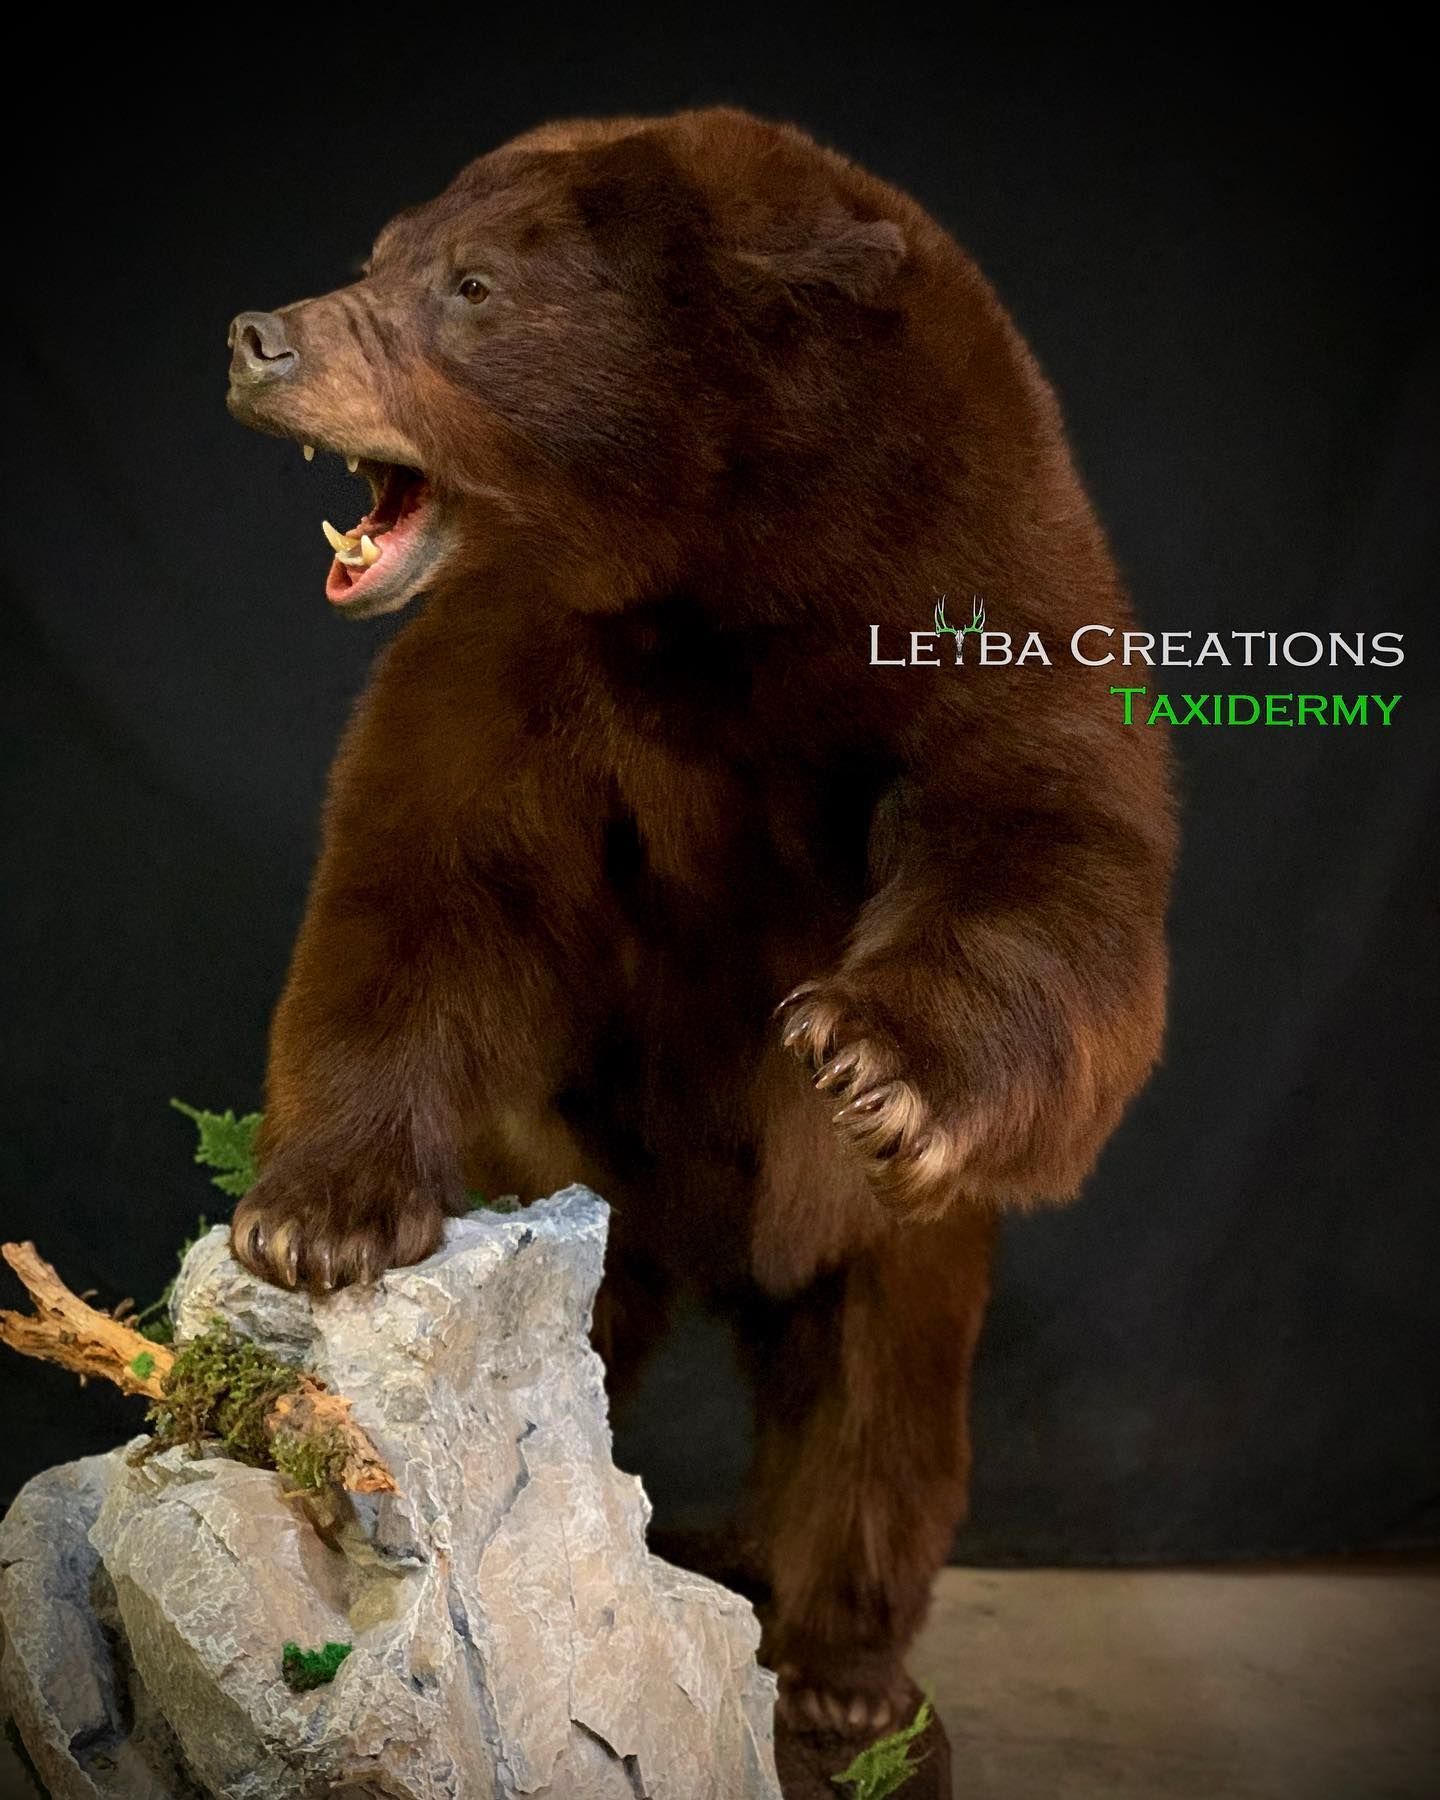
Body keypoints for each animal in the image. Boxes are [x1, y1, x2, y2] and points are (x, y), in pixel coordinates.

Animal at [224, 106, 1175, 1745]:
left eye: (473, 286)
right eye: (385, 250)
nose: (262, 336)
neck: (712, 575)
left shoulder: (971, 584)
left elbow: (1047, 839)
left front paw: (872, 1060)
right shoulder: (518, 666)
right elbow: (423, 887)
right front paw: (317, 1214)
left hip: (891, 1255)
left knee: (879, 1416)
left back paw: (841, 1668)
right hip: (579, 1179)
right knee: (584, 1352)